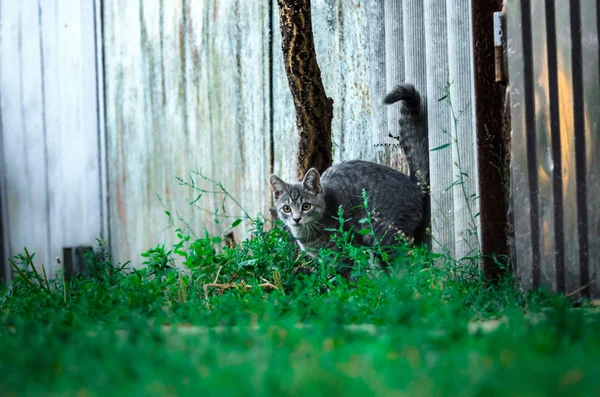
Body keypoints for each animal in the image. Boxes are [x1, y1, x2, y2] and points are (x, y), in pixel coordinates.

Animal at [270, 83, 428, 260]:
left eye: (306, 206)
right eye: (286, 208)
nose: (296, 219)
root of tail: (414, 184)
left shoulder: (344, 251)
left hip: (383, 236)